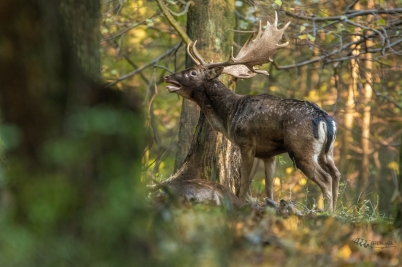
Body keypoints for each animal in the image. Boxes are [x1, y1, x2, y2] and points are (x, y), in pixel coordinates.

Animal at [165, 12, 340, 211]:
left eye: (193, 73)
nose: (168, 76)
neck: (229, 115)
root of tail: (326, 119)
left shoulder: (246, 143)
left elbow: (244, 182)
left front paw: (241, 204)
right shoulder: (268, 154)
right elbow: (269, 187)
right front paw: (271, 205)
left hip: (301, 149)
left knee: (326, 178)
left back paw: (328, 212)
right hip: (328, 151)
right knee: (336, 174)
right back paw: (335, 209)